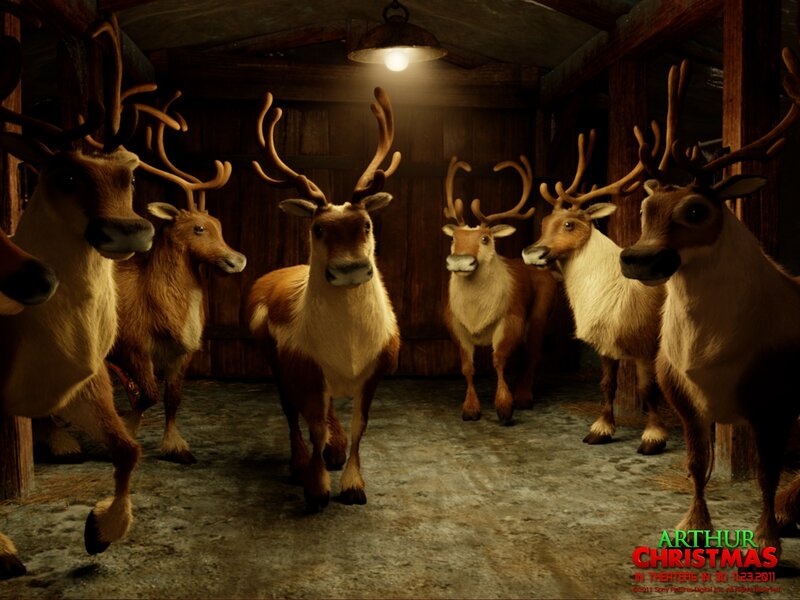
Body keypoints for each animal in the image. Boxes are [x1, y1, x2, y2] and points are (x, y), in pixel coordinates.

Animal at [0, 14, 160, 578]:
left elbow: (129, 450)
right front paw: (6, 553)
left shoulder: (86, 383)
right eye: (65, 173)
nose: (128, 230)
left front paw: (101, 531)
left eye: (131, 173)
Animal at [245, 87, 401, 511]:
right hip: (272, 360)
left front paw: (353, 485)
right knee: (288, 410)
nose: (350, 269)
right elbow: (311, 424)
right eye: (318, 228)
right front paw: (315, 489)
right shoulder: (303, 365)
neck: (348, 350)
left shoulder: (377, 368)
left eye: (367, 224)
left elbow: (361, 426)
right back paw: (299, 463)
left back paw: (334, 450)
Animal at [442, 155, 557, 425]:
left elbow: (499, 360)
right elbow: (467, 366)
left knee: (533, 354)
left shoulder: (511, 319)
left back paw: (524, 397)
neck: (476, 314)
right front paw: (470, 409)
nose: (460, 261)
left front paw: (505, 407)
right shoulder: (454, 324)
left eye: (485, 238)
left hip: (540, 313)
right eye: (454, 238)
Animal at [619, 47, 800, 559]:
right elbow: (697, 465)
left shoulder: (775, 396)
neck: (708, 355)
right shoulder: (679, 390)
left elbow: (764, 473)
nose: (636, 259)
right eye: (647, 209)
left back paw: (787, 513)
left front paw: (766, 539)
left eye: (697, 210)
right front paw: (691, 526)